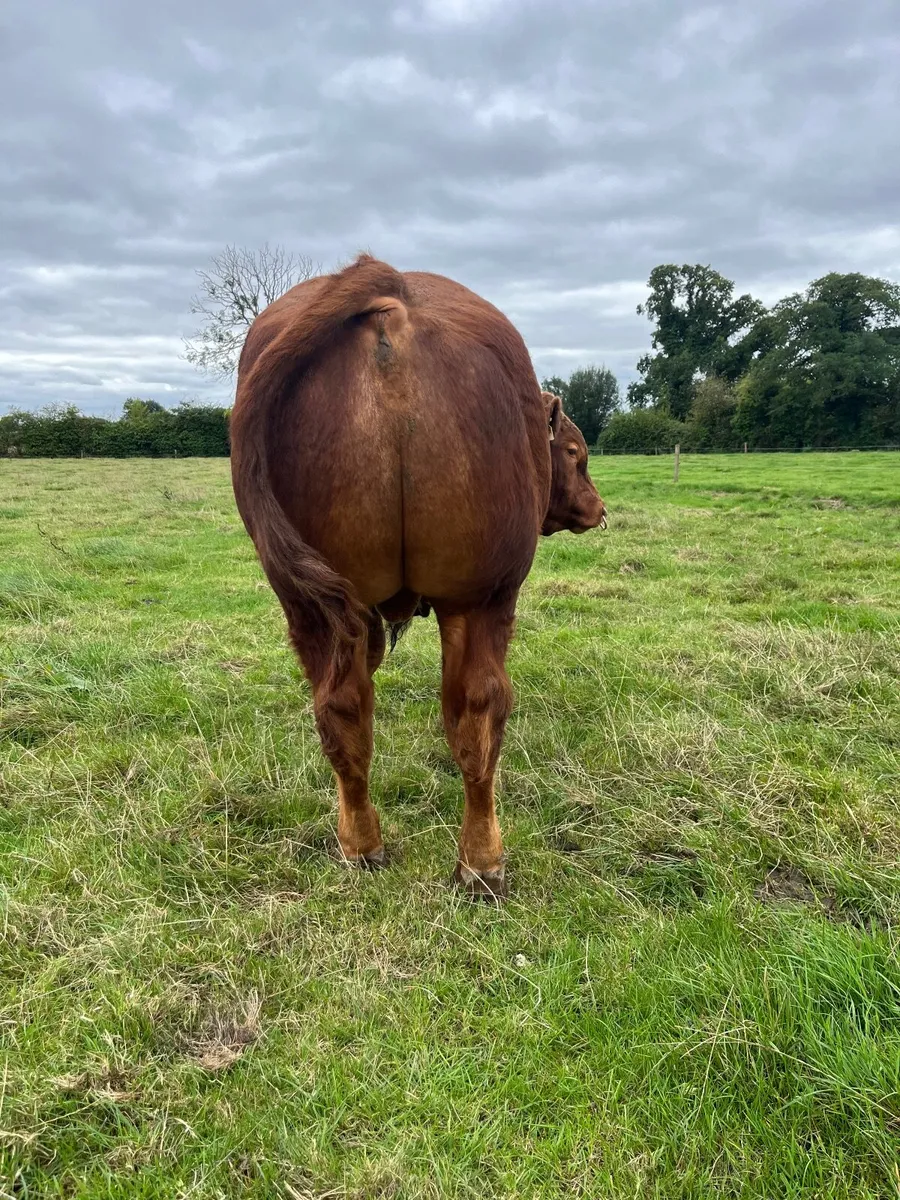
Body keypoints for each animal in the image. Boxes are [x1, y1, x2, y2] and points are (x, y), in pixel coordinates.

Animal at [230, 255, 606, 900]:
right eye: (577, 454)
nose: (600, 508)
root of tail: (390, 290)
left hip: (310, 602)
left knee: (345, 708)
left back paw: (363, 846)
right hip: (485, 594)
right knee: (482, 711)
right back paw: (483, 863)